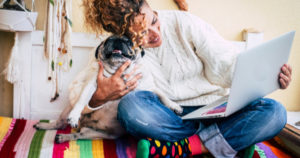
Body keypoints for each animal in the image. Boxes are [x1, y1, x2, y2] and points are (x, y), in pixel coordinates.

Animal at [33, 35, 183, 143]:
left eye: (128, 41)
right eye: (108, 40)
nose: (117, 40)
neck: (118, 72)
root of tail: (85, 125)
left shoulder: (147, 87)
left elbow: (162, 94)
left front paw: (174, 106)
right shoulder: (92, 85)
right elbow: (82, 100)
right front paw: (74, 115)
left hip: (94, 134)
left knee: (79, 135)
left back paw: (64, 137)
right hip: (67, 108)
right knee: (61, 124)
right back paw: (46, 126)